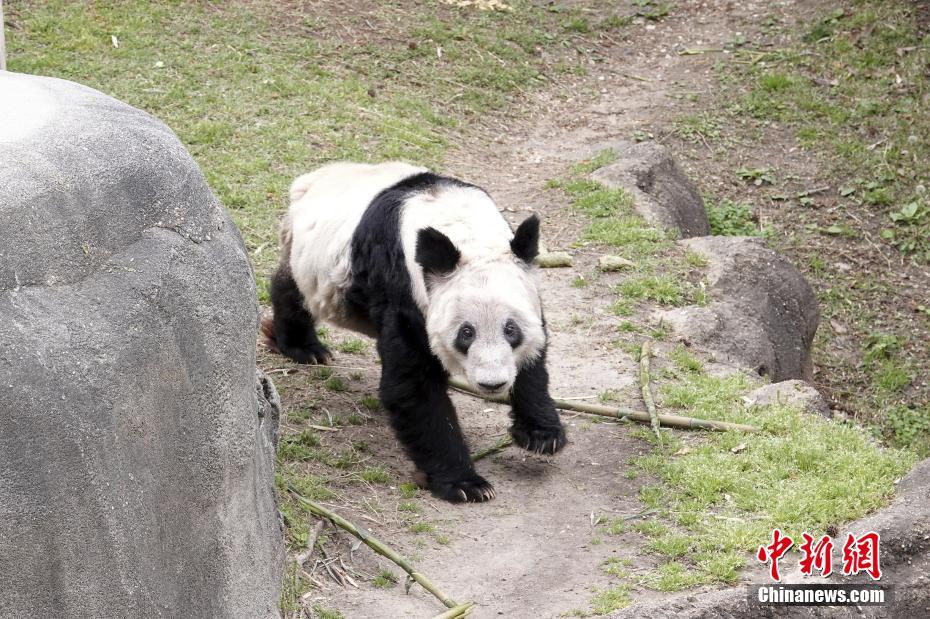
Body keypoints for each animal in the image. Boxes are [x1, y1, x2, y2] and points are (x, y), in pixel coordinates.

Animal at [262, 162, 564, 502]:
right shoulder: (402, 288)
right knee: (292, 288)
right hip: (310, 258)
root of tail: (313, 178)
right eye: (466, 333)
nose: (492, 384)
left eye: (511, 330)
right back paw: (304, 348)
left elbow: (535, 357)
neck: (462, 227)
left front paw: (541, 433)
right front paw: (464, 483)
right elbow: (412, 385)